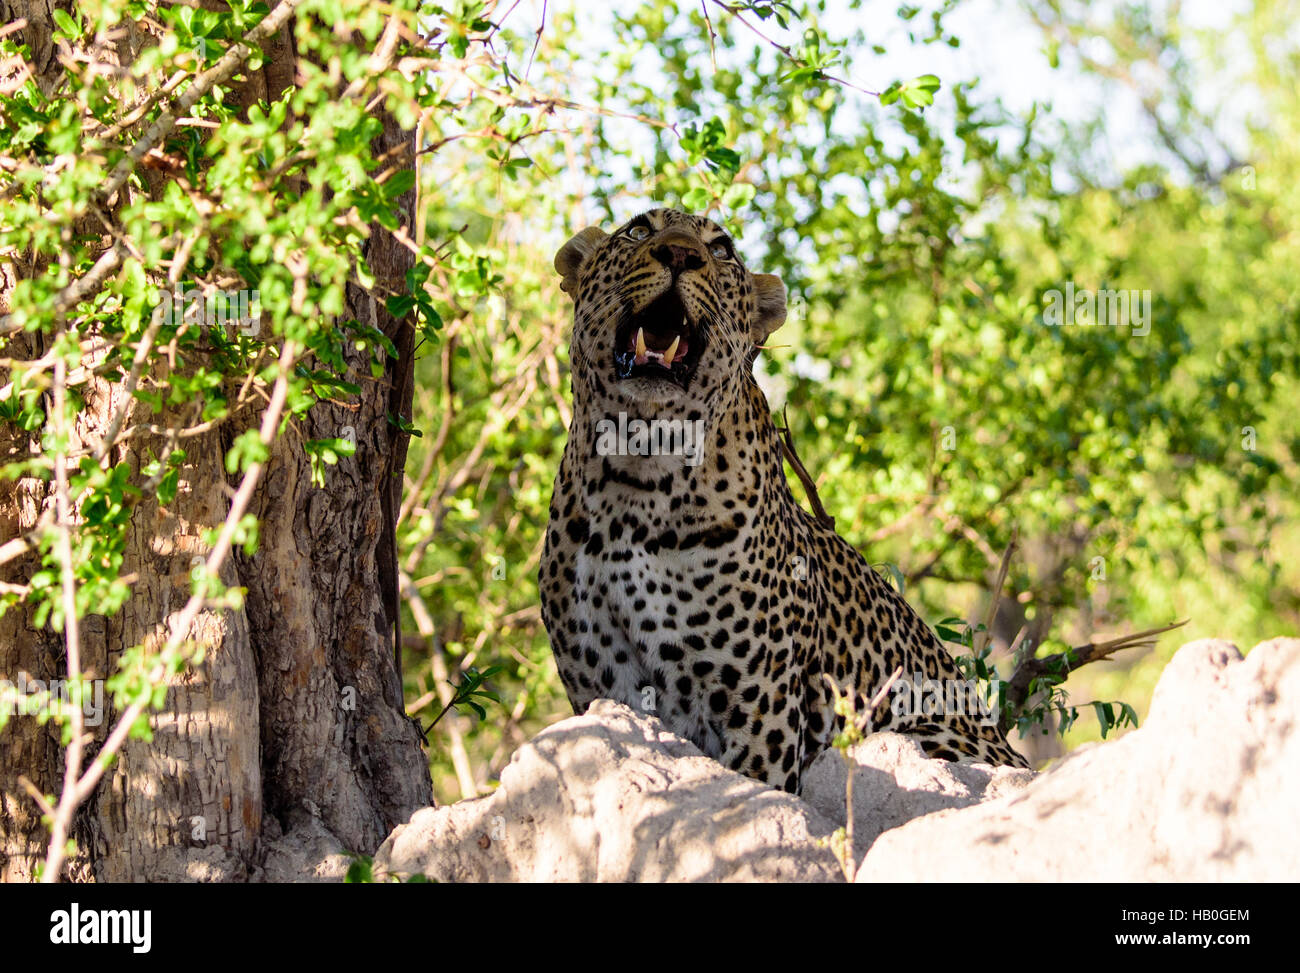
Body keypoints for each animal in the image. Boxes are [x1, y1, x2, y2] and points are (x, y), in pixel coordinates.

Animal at [539, 206, 1029, 794]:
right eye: (637, 229)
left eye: (721, 250)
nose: (680, 253)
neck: (634, 479)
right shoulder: (601, 691)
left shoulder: (759, 712)